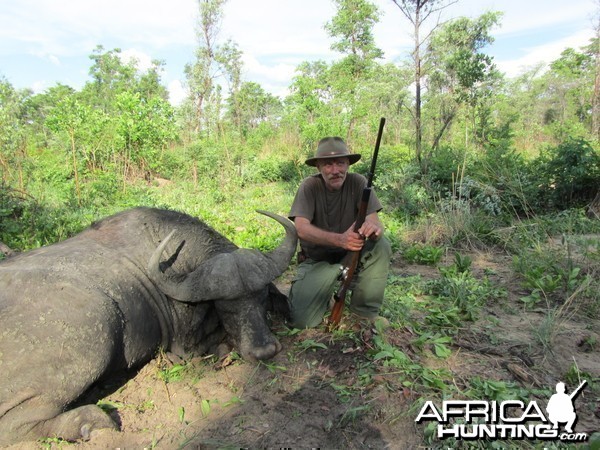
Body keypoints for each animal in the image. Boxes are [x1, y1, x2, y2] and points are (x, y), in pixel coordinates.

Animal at [0, 207, 296, 442]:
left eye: (262, 298)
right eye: (225, 307)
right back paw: (90, 423)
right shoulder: (185, 346)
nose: (264, 351)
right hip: (98, 327)